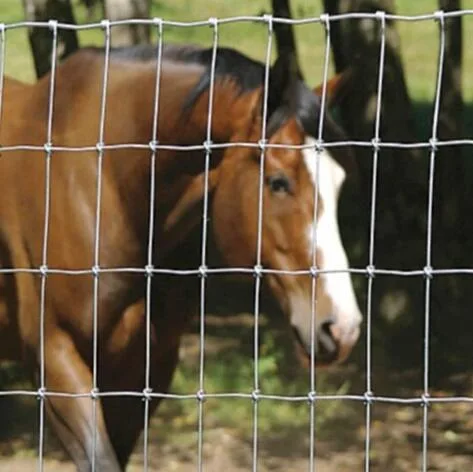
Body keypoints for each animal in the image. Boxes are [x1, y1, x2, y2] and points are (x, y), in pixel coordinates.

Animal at [0, 42, 362, 470]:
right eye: (278, 182)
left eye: (339, 184)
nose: (342, 328)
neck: (103, 182)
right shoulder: (55, 358)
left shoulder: (143, 370)